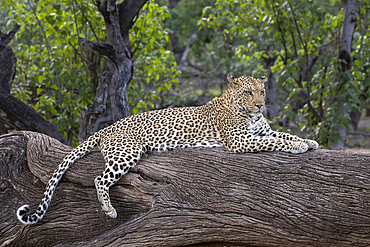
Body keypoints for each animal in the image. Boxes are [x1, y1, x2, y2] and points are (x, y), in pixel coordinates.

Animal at [17, 73, 318, 224]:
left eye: (262, 92)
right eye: (247, 93)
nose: (259, 105)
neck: (248, 114)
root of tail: (108, 127)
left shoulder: (260, 131)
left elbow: (281, 134)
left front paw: (308, 141)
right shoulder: (240, 140)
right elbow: (276, 141)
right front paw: (299, 145)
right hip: (127, 152)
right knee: (99, 178)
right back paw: (110, 210)